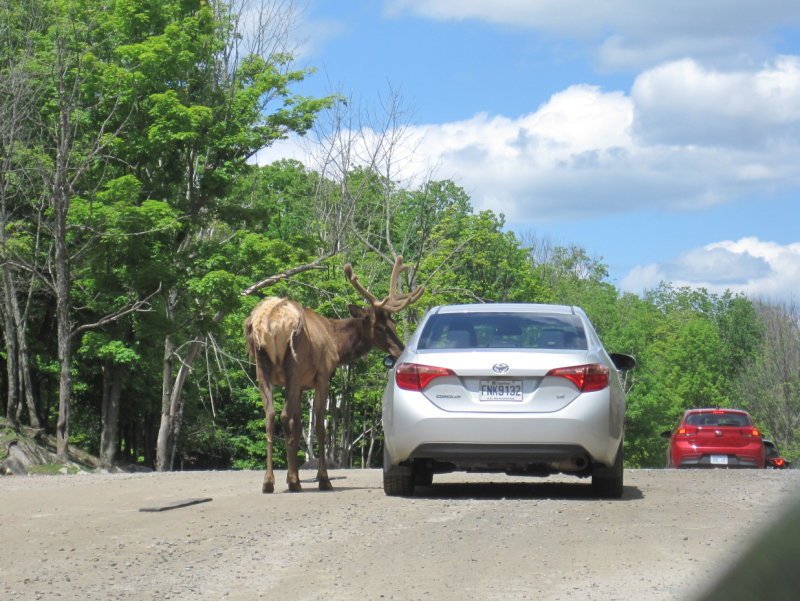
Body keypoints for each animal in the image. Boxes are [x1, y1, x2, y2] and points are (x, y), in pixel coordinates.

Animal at [244, 254, 424, 492]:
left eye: (393, 323)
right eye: (379, 327)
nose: (400, 349)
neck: (337, 345)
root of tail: (268, 322)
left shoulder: (300, 385)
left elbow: (298, 425)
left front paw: (296, 476)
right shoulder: (322, 376)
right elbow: (319, 426)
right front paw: (322, 478)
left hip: (262, 369)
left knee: (271, 416)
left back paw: (269, 481)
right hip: (293, 365)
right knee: (283, 416)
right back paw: (292, 482)